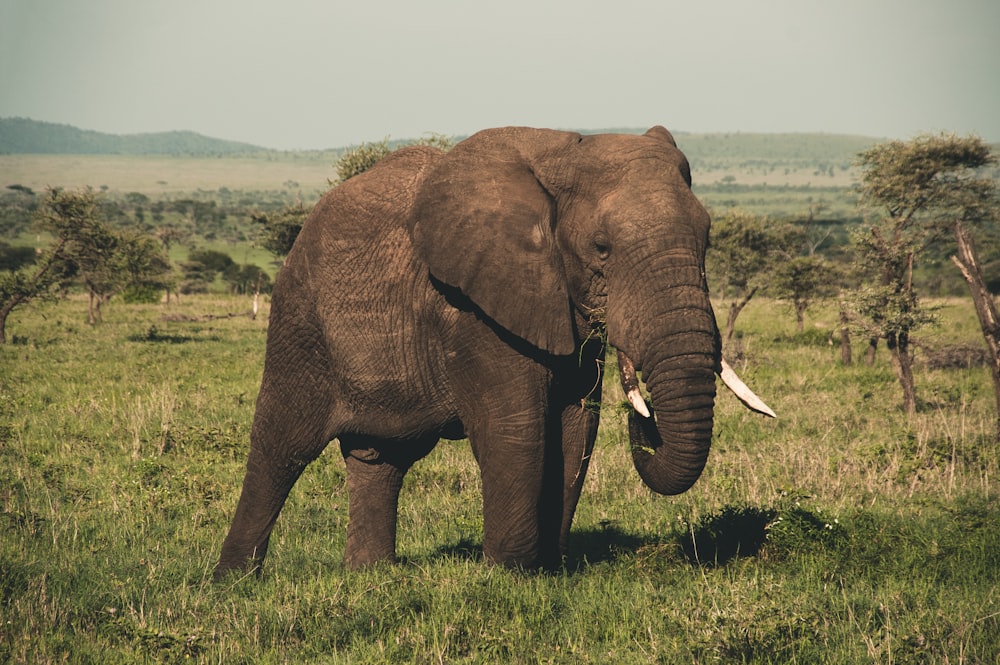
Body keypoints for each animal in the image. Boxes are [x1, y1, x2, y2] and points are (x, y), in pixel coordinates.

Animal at [213, 127, 772, 580]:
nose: (646, 418)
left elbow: (576, 428)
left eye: (707, 238)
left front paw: (551, 570)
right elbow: (515, 428)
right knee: (282, 445)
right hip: (300, 317)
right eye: (602, 248)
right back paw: (234, 583)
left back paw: (372, 578)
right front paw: (509, 577)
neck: (565, 152)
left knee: (382, 458)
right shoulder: (475, 310)